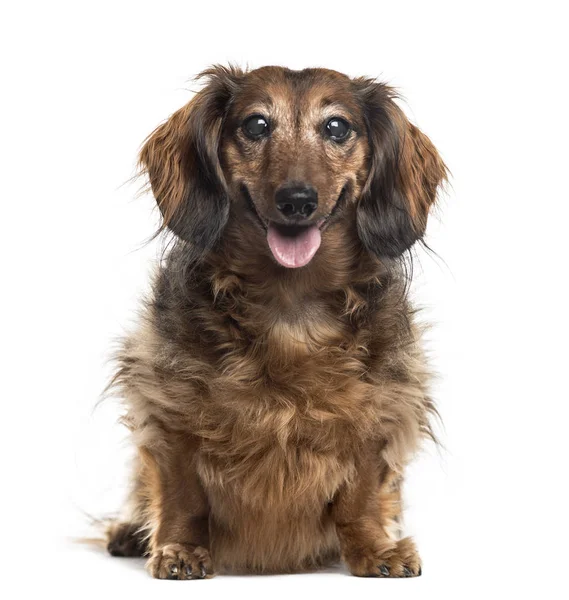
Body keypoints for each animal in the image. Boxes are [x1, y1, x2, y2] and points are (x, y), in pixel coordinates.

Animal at [104, 67, 446, 580]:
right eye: (256, 125)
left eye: (337, 127)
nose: (297, 200)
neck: (290, 305)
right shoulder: (169, 407)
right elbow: (183, 493)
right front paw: (181, 548)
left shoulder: (383, 409)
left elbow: (361, 496)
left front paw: (374, 549)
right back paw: (129, 531)